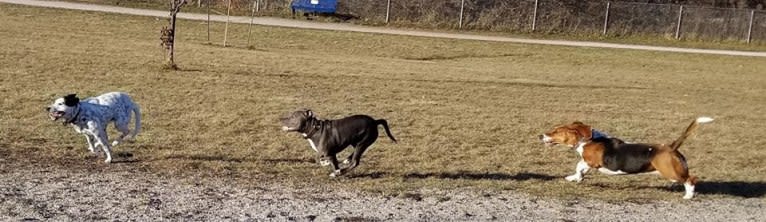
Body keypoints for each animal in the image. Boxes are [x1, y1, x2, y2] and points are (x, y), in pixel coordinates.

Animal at [544, 117, 716, 199]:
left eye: (556, 131)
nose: (541, 136)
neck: (587, 140)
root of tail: (671, 147)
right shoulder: (587, 163)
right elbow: (579, 169)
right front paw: (574, 178)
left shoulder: (591, 161)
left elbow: (580, 166)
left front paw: (576, 177)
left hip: (671, 173)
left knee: (691, 179)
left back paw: (688, 195)